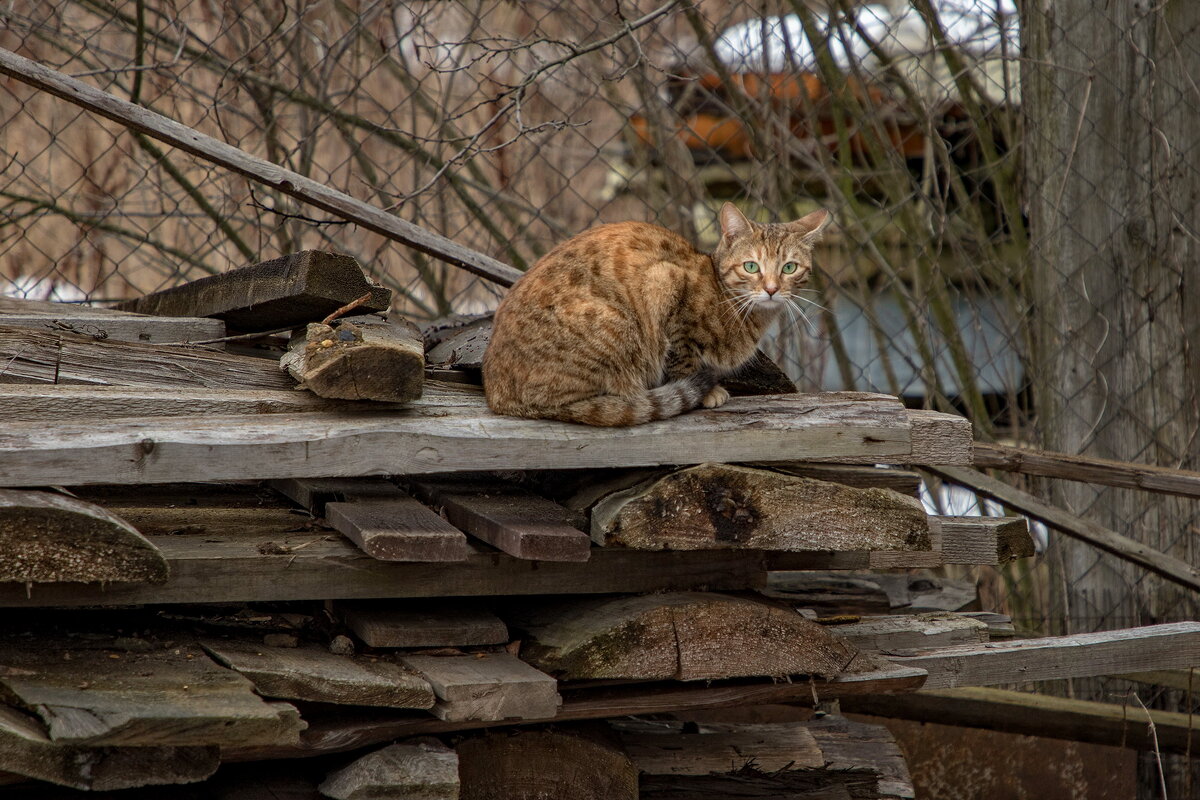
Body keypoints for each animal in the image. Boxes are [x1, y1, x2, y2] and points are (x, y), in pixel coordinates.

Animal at [482, 203, 830, 429]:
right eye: (751, 266)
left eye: (789, 267)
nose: (771, 289)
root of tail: (497, 395)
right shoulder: (665, 284)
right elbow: (682, 359)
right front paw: (706, 392)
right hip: (614, 324)